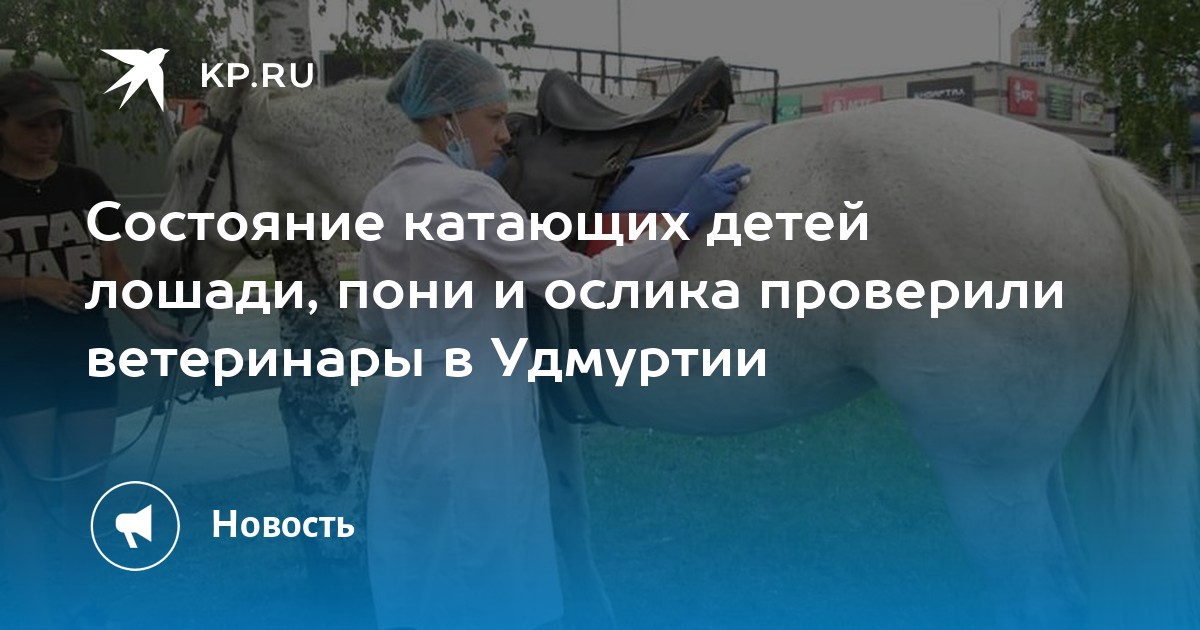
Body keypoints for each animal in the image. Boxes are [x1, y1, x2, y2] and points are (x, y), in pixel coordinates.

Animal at [141, 76, 1199, 630]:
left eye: (192, 167)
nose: (151, 288)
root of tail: (1085, 166)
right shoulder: (546, 415)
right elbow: (569, 525)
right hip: (1037, 465)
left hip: (989, 476)